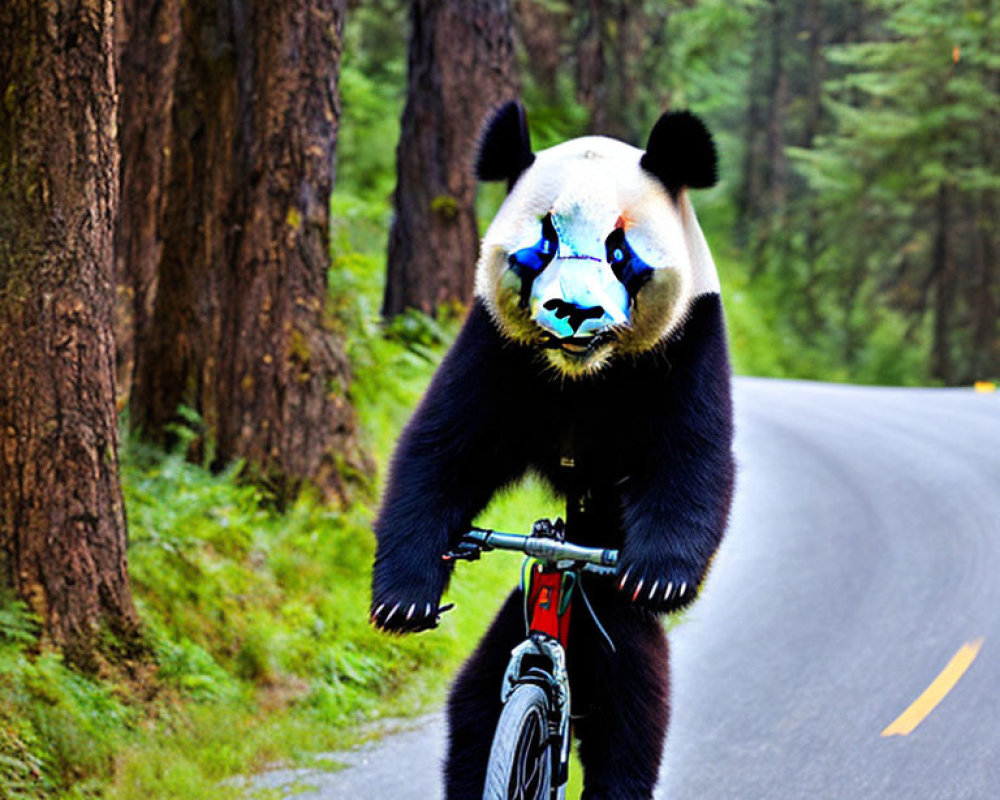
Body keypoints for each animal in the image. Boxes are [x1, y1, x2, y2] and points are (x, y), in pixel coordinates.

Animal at [372, 103, 732, 796]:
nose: (575, 310)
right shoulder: (495, 346)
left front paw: (662, 575)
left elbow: (691, 459)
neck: (583, 372)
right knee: (477, 705)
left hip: (611, 609)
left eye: (619, 251)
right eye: (544, 244)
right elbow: (441, 452)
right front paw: (403, 597)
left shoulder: (689, 340)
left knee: (632, 706)